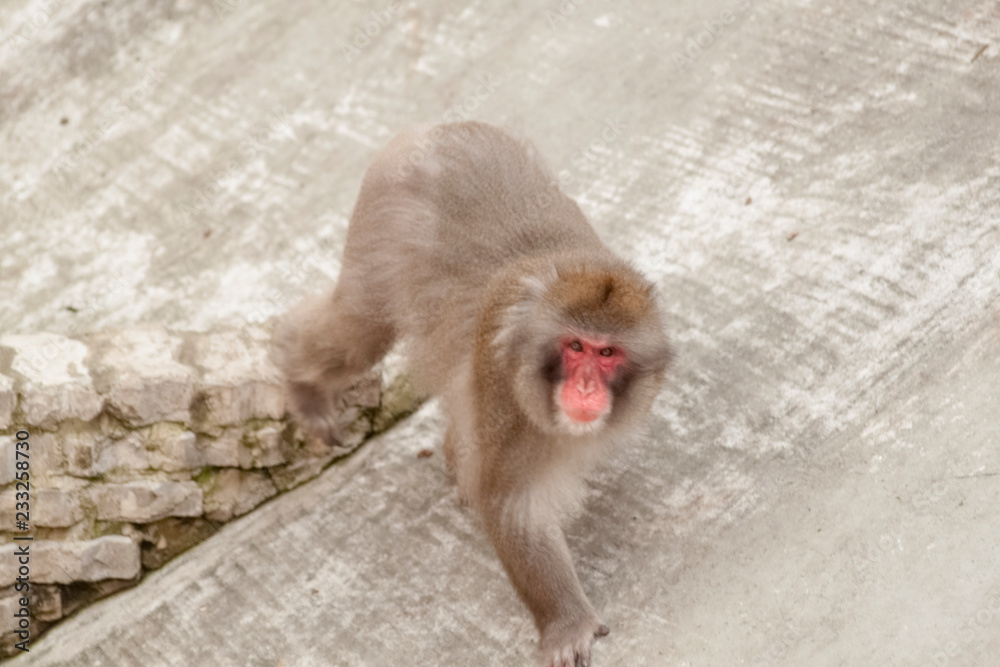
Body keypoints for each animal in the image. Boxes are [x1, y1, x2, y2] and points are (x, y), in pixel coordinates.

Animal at [273, 121, 672, 667]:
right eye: (575, 346)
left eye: (607, 352)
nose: (586, 387)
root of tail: (438, 129)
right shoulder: (504, 391)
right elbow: (512, 503)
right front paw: (566, 624)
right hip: (380, 221)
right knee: (358, 329)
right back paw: (303, 383)